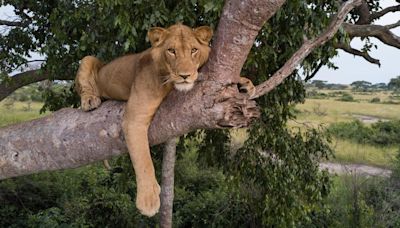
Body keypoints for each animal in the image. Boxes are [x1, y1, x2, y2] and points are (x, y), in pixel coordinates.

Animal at [74, 24, 255, 216]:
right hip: (88, 60)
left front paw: (244, 84)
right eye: (171, 51)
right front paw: (148, 199)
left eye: (194, 50)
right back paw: (90, 100)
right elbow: (143, 159)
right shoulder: (134, 118)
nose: (185, 75)